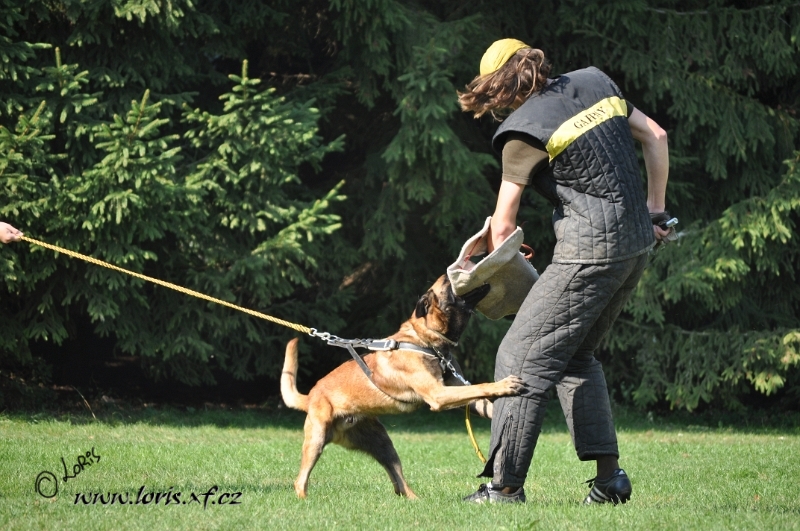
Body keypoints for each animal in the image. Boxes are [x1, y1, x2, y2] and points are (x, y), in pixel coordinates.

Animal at [280, 274, 524, 499]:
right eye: (447, 282)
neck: (425, 339)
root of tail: (312, 394)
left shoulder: (454, 392)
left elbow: (479, 397)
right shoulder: (438, 395)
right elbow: (480, 386)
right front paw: (505, 384)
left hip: (384, 445)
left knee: (399, 483)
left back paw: (416, 501)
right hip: (317, 439)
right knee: (300, 481)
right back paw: (304, 500)